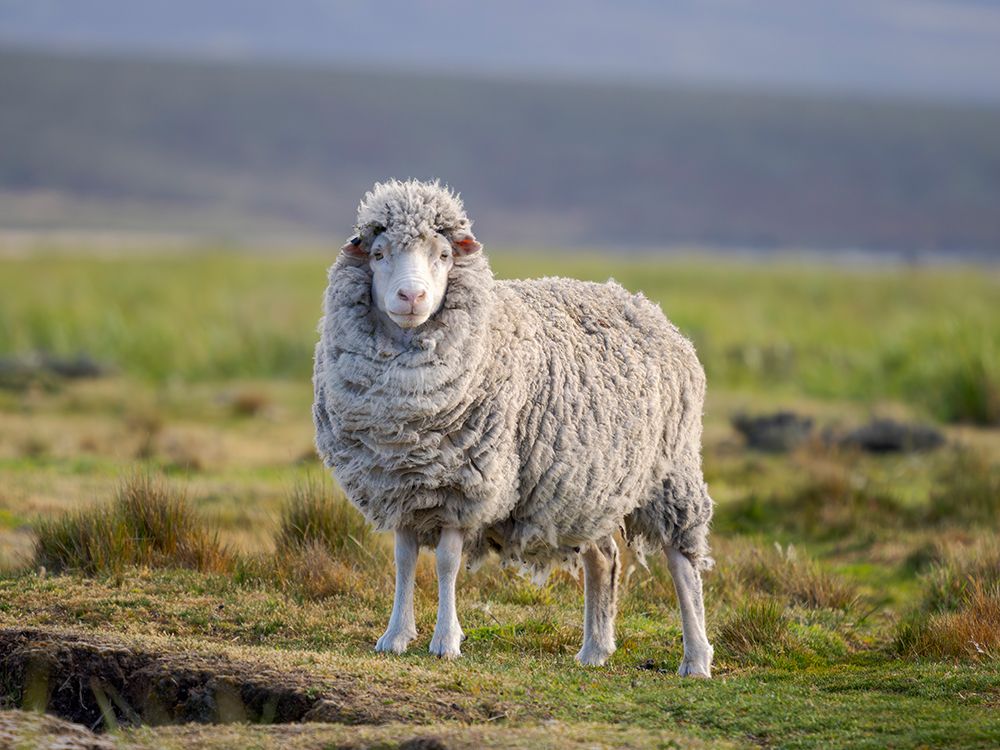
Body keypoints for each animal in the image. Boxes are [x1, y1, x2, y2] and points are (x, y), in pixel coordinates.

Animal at [313, 179, 714, 675]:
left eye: (443, 255)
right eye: (379, 253)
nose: (411, 298)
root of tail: (643, 305)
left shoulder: (464, 485)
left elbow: (446, 562)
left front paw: (446, 641)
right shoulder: (403, 485)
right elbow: (404, 560)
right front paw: (395, 636)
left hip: (670, 471)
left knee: (683, 563)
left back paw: (696, 658)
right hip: (589, 486)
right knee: (604, 559)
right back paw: (595, 650)